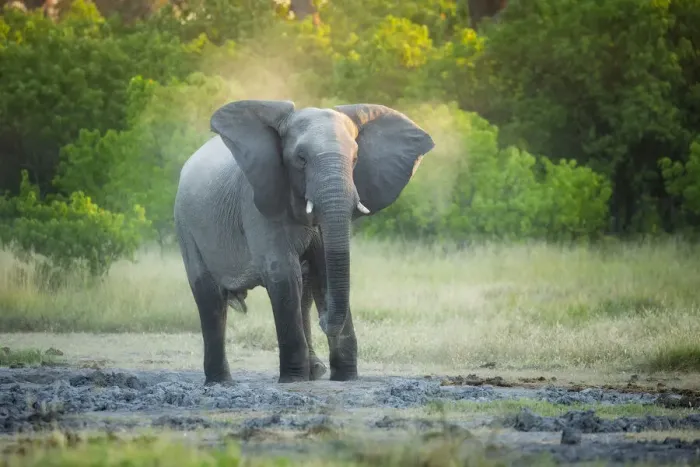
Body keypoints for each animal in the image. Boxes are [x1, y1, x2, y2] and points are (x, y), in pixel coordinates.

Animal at [174, 99, 434, 385]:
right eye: (301, 159)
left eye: (355, 159)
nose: (325, 319)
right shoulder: (256, 202)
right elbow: (283, 274)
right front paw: (292, 380)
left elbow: (324, 271)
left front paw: (345, 378)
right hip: (185, 225)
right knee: (209, 299)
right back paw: (221, 381)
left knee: (304, 292)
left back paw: (314, 371)